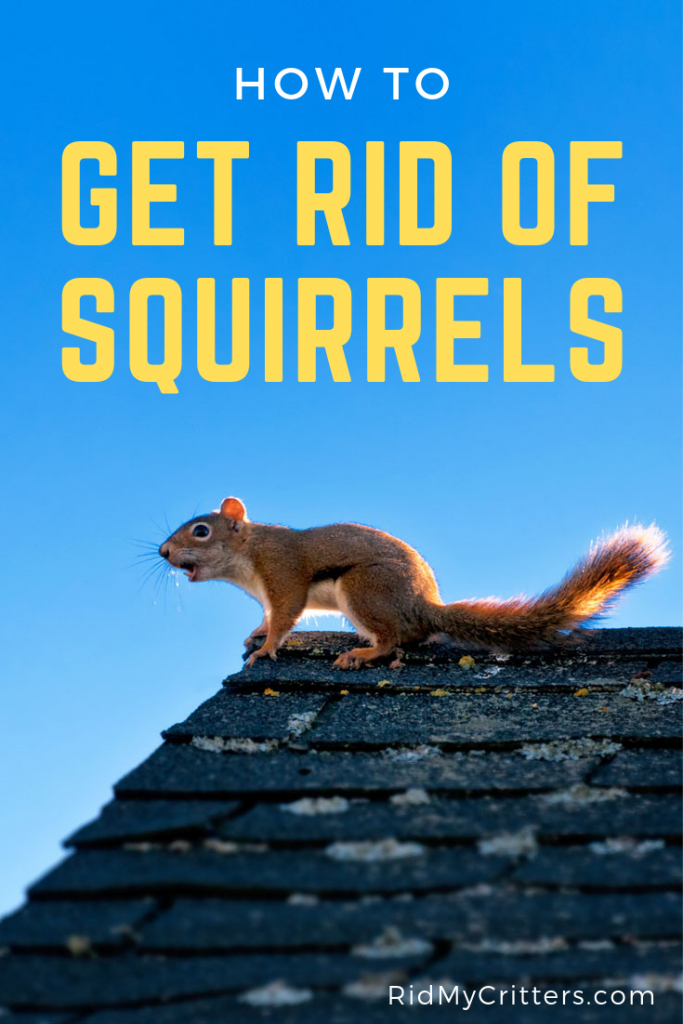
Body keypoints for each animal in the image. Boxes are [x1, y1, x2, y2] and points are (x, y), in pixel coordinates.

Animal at [159, 498, 669, 669]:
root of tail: (425, 605)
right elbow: (266, 616)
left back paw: (362, 654)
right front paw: (256, 634)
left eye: (200, 531)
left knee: (392, 640)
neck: (249, 556)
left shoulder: (284, 576)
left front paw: (265, 650)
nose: (162, 552)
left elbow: (285, 615)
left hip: (363, 589)